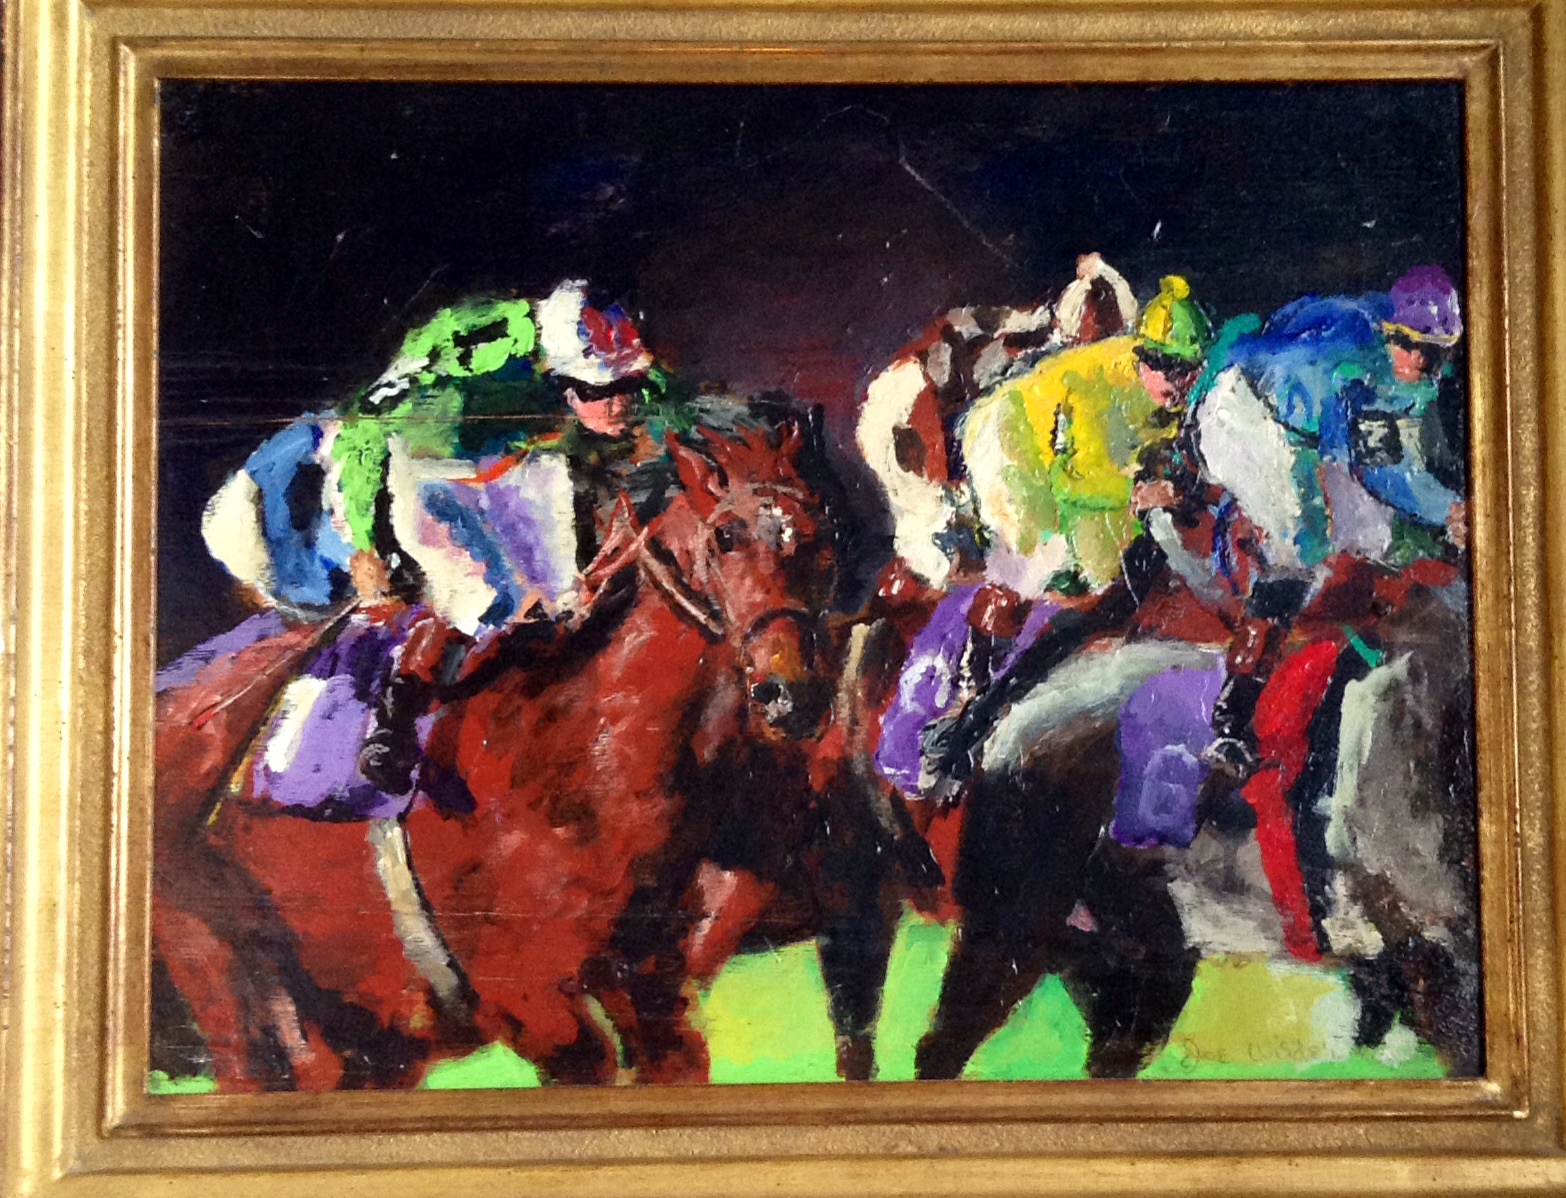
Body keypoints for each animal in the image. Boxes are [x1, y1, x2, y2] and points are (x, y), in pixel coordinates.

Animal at [153, 423, 841, 1090]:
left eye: (821, 537)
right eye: (725, 536)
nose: (793, 693)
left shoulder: (652, 992)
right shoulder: (531, 1005)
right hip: (224, 971)